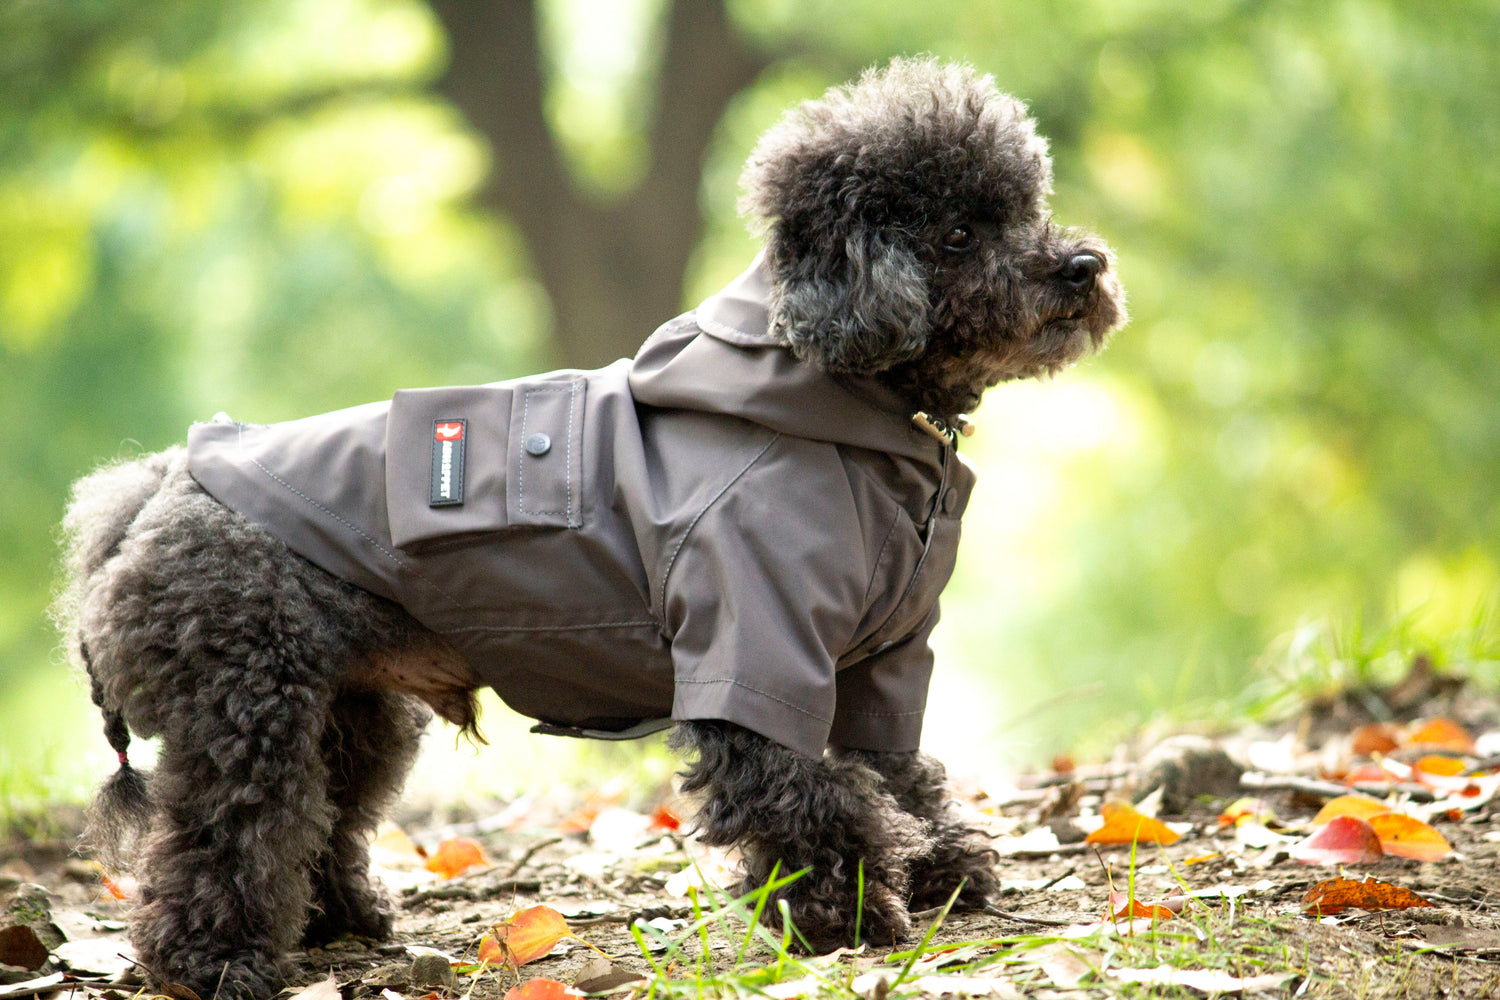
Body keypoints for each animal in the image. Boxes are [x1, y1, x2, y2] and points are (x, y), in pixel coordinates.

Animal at [58, 58, 1122, 995]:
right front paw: (849, 913)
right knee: (229, 832)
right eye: (957, 232)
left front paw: (945, 869)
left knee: (322, 817)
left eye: (1026, 206)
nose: (1082, 266)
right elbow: (809, 795)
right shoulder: (752, 644)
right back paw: (214, 962)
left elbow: (897, 769)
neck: (846, 401)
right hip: (250, 708)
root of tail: (154, 488)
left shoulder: (881, 660)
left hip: (350, 709)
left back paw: (338, 920)